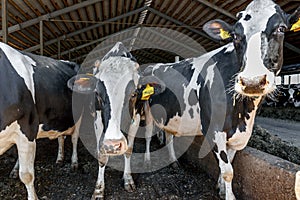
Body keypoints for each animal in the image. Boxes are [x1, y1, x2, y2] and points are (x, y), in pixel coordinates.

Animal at [0, 41, 81, 199]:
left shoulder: (28, 126)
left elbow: (27, 175)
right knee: (60, 137)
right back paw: (59, 158)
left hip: (80, 115)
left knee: (74, 138)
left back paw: (74, 163)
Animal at [122, 0, 300, 199]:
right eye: (235, 36)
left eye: (281, 28)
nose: (252, 81)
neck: (243, 112)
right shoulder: (213, 129)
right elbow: (228, 171)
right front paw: (228, 194)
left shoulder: (239, 134)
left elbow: (229, 165)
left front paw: (220, 188)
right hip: (140, 109)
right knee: (137, 138)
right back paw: (136, 171)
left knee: (161, 135)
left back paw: (168, 162)